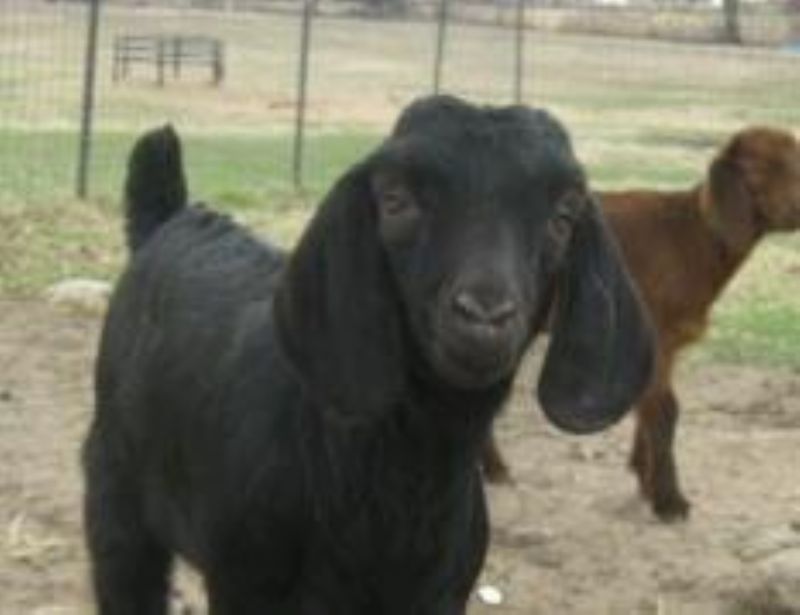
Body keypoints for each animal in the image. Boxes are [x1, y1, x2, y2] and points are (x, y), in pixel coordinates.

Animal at [83, 95, 653, 613]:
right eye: (396, 200)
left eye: (564, 215)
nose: (484, 315)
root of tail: (167, 220)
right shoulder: (245, 586)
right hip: (115, 498)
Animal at [483, 126, 800, 522]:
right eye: (758, 171)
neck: (689, 239)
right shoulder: (658, 335)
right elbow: (665, 411)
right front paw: (669, 501)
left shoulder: (664, 343)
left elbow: (648, 407)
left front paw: (642, 476)